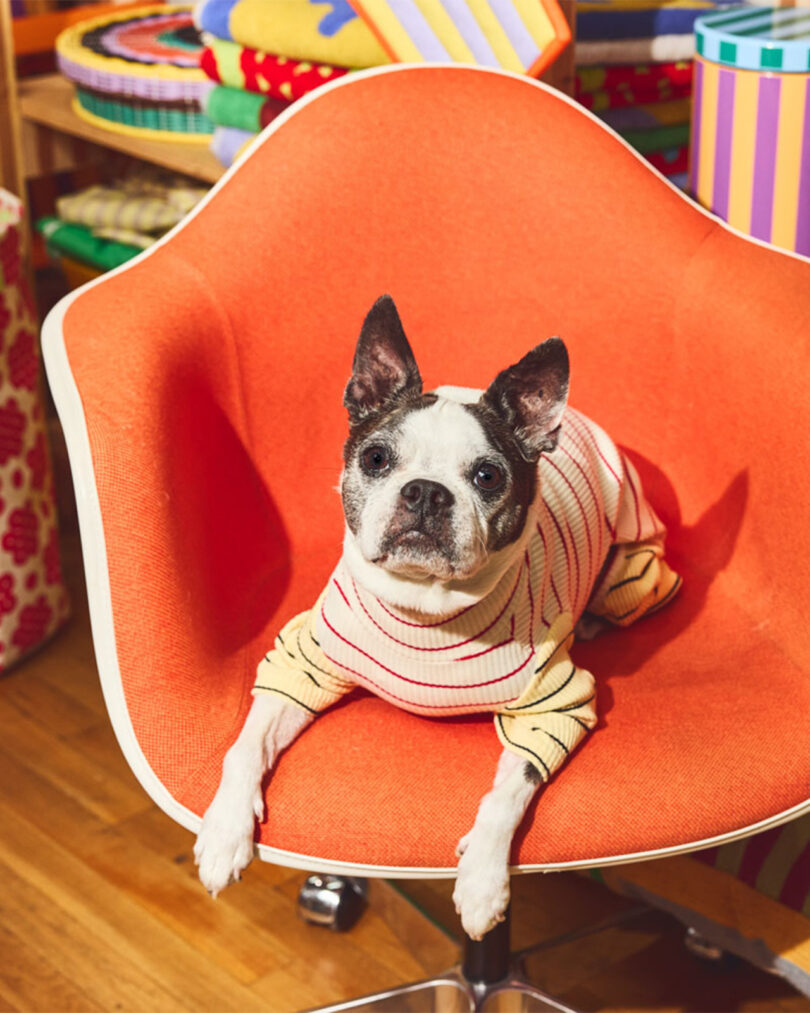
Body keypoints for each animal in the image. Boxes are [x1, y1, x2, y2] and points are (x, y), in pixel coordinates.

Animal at [193, 293, 680, 940]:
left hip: (635, 576)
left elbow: (507, 792)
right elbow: (246, 744)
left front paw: (482, 883)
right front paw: (224, 833)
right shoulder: (301, 662)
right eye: (376, 458)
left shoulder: (557, 704)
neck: (424, 610)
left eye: (488, 475)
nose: (425, 491)